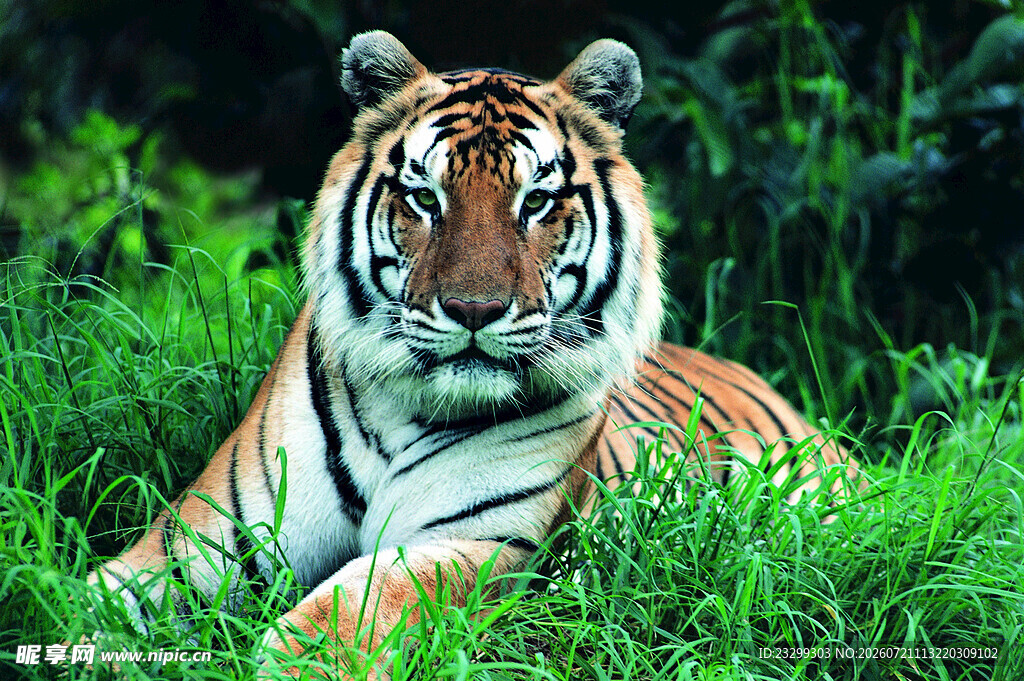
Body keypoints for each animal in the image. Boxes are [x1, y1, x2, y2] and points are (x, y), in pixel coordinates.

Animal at [89, 31, 858, 678]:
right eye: (425, 198)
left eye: (537, 201)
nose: (474, 310)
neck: (398, 415)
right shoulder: (198, 544)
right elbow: (94, 598)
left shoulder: (480, 541)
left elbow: (351, 609)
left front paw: (295, 663)